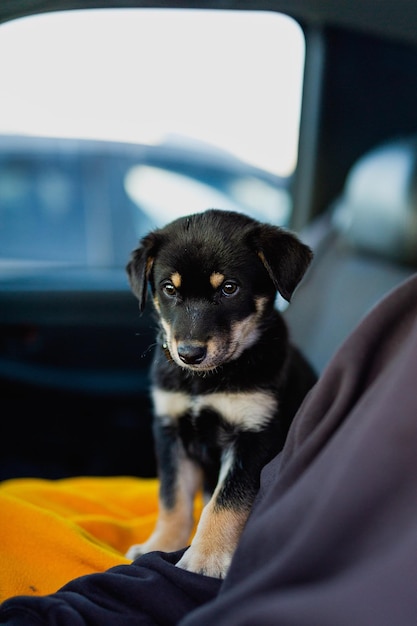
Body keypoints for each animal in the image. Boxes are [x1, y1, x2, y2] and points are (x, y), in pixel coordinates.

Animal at [125, 208, 314, 576]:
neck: (206, 382)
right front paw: (160, 544)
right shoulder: (170, 430)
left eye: (229, 288)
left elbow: (224, 503)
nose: (189, 354)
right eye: (169, 288)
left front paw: (206, 559)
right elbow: (173, 498)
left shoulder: (254, 436)